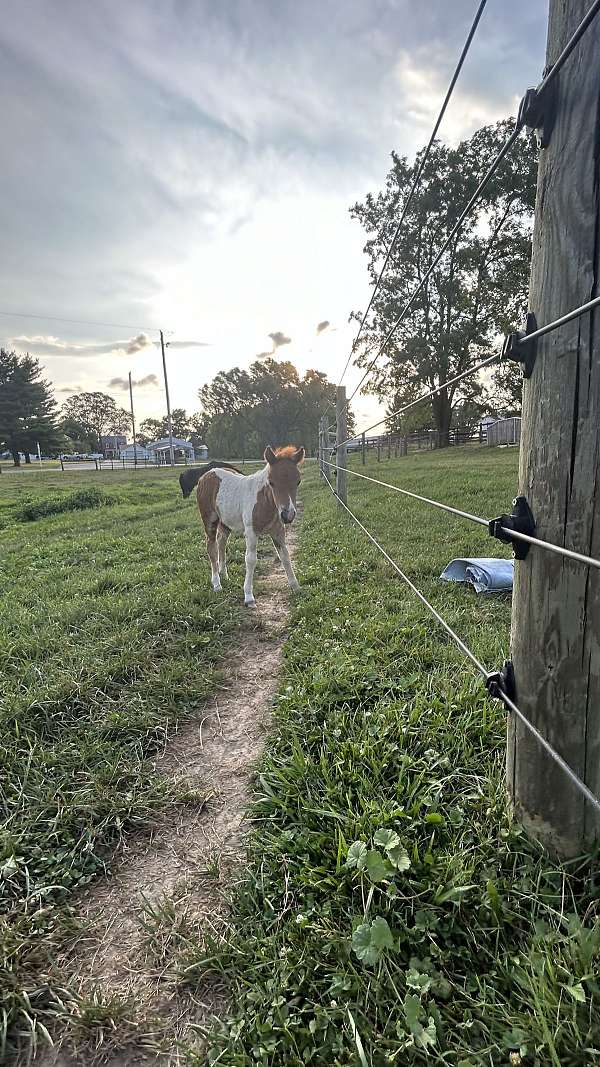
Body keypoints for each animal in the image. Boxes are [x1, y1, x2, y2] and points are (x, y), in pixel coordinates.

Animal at [195, 443, 301, 610]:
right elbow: (250, 560)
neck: (266, 501)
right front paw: (249, 596)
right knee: (211, 547)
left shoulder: (278, 531)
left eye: (298, 482)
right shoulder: (251, 532)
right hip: (210, 520)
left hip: (225, 522)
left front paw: (296, 587)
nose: (288, 515)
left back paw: (224, 574)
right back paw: (217, 584)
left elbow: (285, 555)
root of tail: (205, 475)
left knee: (221, 542)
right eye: (271, 482)